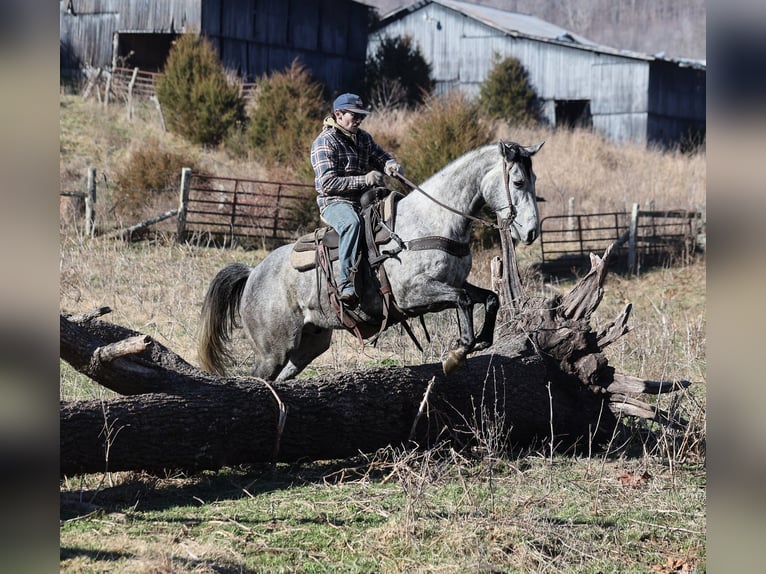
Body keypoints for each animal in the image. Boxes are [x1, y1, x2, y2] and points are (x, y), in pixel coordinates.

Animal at [198, 140, 544, 381]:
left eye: (534, 179)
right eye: (517, 182)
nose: (531, 231)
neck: (430, 221)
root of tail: (253, 273)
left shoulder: (451, 283)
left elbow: (490, 298)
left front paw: (482, 340)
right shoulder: (415, 294)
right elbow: (463, 301)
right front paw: (458, 352)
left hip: (308, 344)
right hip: (272, 350)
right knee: (258, 379)